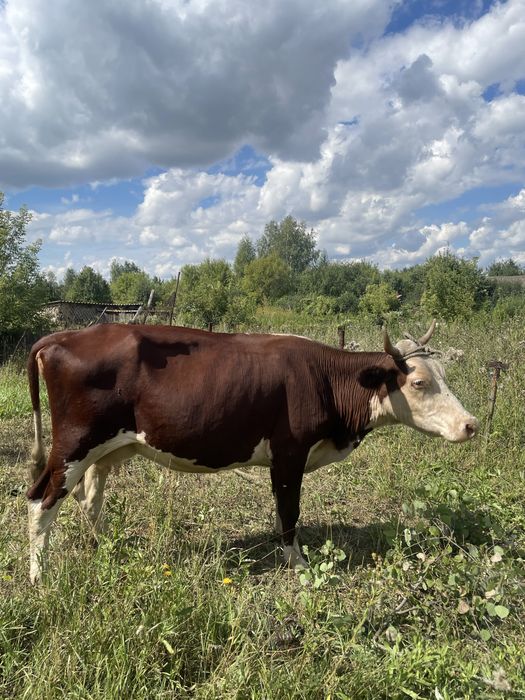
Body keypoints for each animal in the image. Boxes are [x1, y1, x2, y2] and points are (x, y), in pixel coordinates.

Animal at [26, 320, 478, 583]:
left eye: (444, 374)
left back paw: (107, 547)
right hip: (73, 443)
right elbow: (290, 511)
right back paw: (39, 577)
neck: (325, 379)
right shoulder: (290, 453)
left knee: (89, 496)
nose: (470, 424)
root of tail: (62, 335)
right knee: (41, 500)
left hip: (110, 446)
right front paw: (297, 563)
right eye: (418, 382)